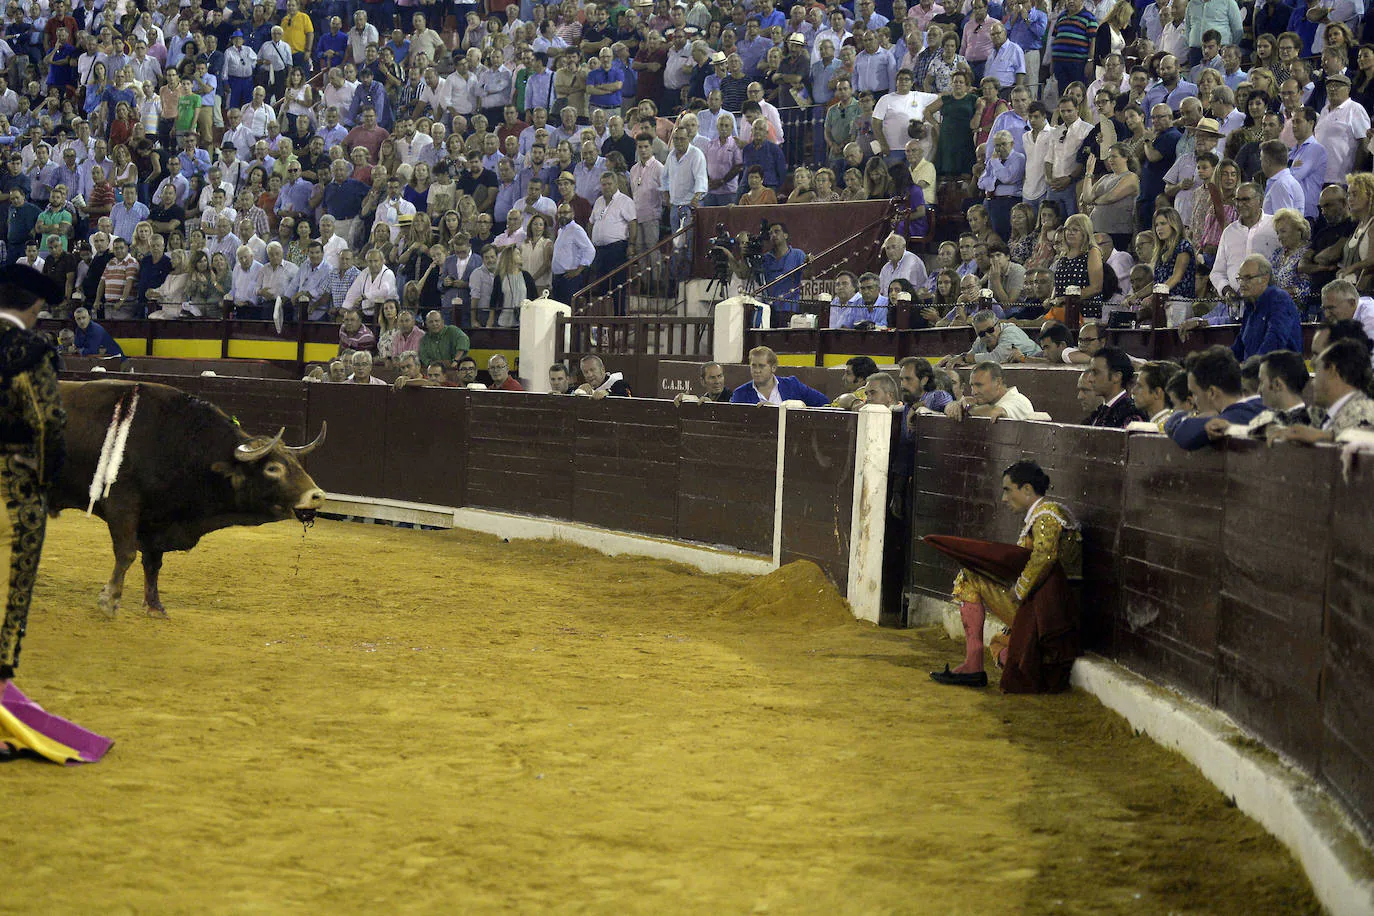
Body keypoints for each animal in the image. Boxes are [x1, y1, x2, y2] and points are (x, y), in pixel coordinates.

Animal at [52, 376, 327, 620]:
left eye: (295, 463)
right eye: (272, 468)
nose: (317, 495)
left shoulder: (157, 520)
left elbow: (153, 562)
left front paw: (155, 607)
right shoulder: (122, 505)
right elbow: (126, 553)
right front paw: (109, 601)